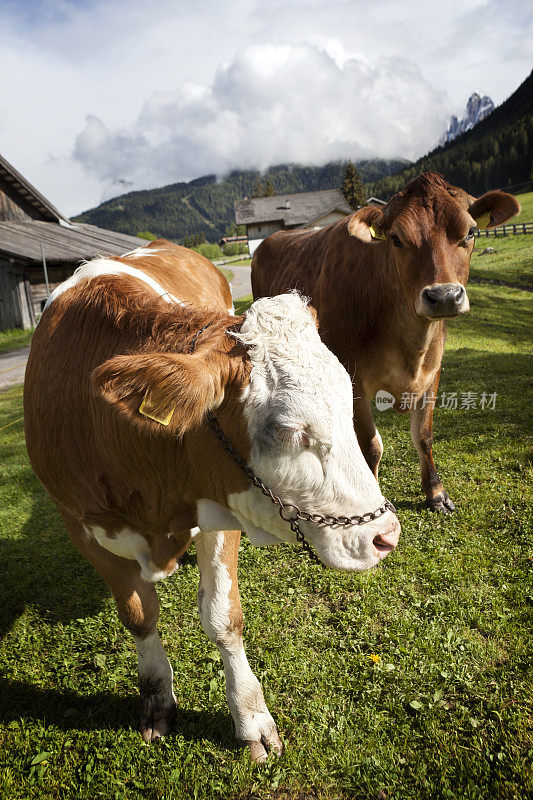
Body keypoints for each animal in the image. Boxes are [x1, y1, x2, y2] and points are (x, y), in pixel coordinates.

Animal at [25, 238, 400, 764]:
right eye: (285, 428)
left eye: (348, 401)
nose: (386, 535)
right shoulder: (81, 526)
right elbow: (139, 616)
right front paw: (157, 698)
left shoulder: (220, 508)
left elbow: (223, 618)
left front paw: (251, 718)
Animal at [250, 174, 520, 512]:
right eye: (396, 239)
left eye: (470, 231)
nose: (444, 295)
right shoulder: (354, 380)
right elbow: (371, 445)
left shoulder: (433, 371)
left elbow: (423, 435)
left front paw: (436, 492)